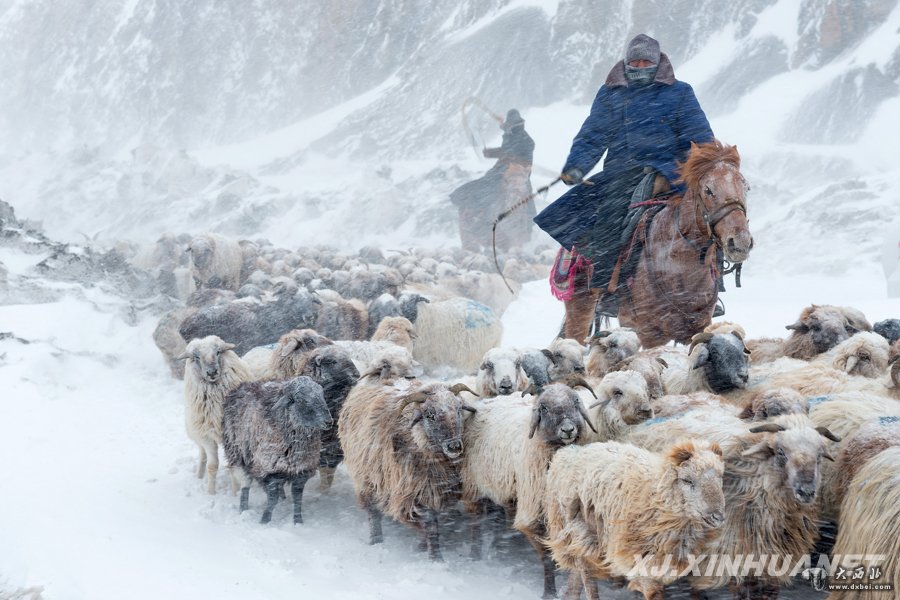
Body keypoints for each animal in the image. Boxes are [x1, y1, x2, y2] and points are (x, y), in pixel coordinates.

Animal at [221, 378, 330, 524]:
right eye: (300, 400)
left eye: (321, 395)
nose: (329, 421)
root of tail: (242, 385)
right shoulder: (268, 469)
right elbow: (273, 498)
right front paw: (265, 520)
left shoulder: (301, 471)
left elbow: (297, 498)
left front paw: (298, 521)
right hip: (238, 453)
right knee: (245, 483)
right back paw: (243, 509)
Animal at [338, 382, 478, 560]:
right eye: (430, 415)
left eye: (459, 409)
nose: (454, 446)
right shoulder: (411, 493)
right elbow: (430, 526)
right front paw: (435, 557)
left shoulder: (436, 490)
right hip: (367, 478)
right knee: (373, 512)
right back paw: (376, 540)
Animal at [568, 141, 752, 346]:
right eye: (708, 190)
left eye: (746, 188)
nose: (740, 242)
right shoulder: (650, 333)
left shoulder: (697, 328)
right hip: (580, 306)